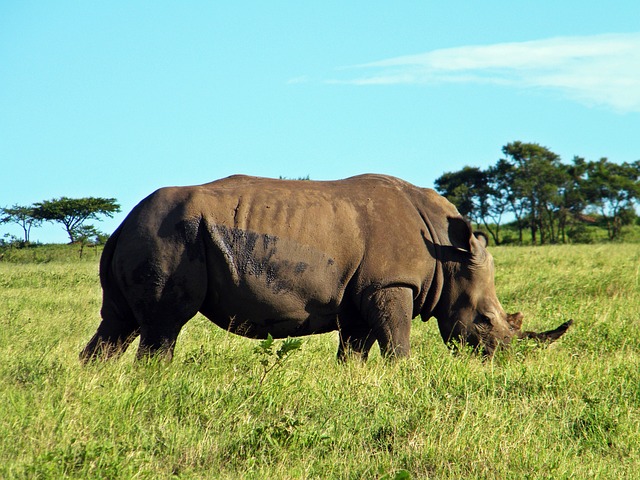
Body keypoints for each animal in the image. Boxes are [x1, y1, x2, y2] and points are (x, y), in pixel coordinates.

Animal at [81, 174, 568, 362]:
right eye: (484, 322)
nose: (502, 360)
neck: (447, 255)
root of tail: (121, 225)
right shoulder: (391, 285)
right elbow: (397, 343)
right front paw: (405, 377)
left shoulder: (362, 293)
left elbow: (354, 349)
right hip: (167, 238)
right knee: (163, 325)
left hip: (147, 236)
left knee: (119, 324)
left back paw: (95, 386)